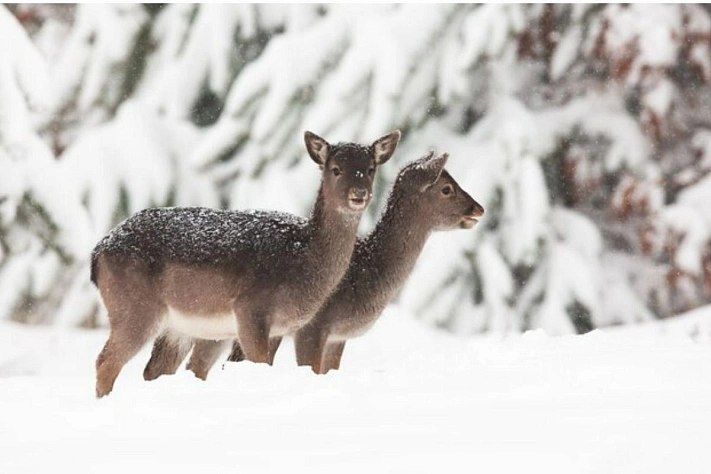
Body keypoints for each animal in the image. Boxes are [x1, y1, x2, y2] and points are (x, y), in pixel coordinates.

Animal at [91, 129, 400, 396]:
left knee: (152, 369)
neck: (301, 258)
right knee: (106, 361)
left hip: (176, 326)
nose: (358, 194)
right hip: (134, 308)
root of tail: (98, 253)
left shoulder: (277, 328)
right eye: (335, 169)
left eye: (370, 169)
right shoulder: (251, 309)